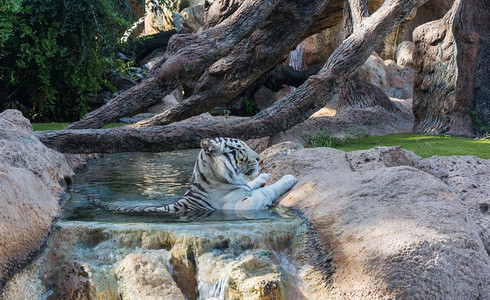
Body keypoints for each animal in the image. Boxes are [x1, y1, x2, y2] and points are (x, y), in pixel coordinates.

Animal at [89, 137, 296, 212]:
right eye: (240, 149)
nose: (259, 157)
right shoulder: (241, 205)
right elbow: (266, 191)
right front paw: (288, 178)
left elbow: (252, 185)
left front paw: (264, 176)